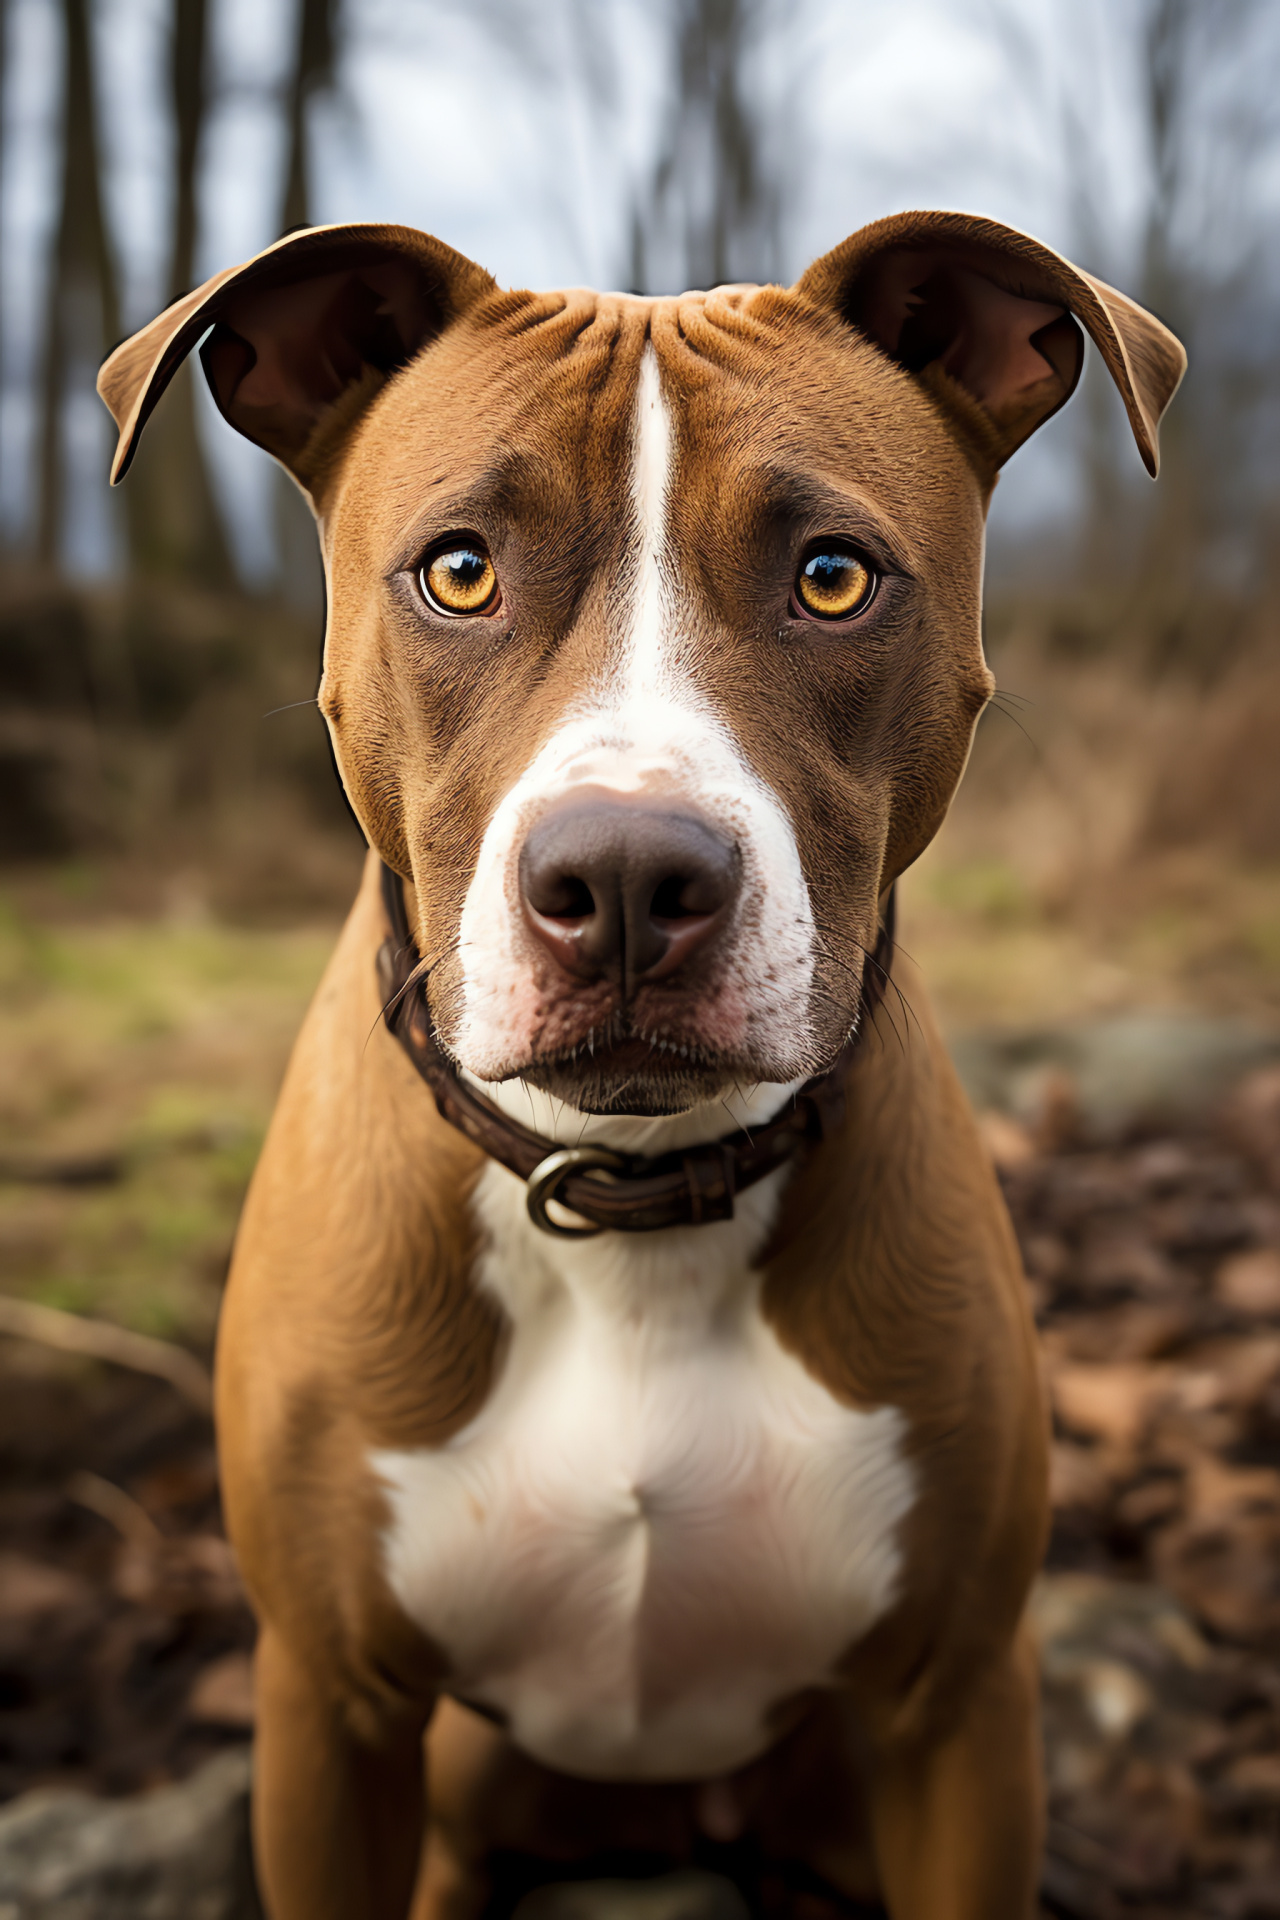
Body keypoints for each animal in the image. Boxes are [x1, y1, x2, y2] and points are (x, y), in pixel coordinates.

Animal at [102, 210, 1189, 1920]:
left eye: (832, 579)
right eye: (459, 570)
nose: (622, 879)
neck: (632, 1198)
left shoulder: (957, 1712)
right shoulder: (330, 1715)